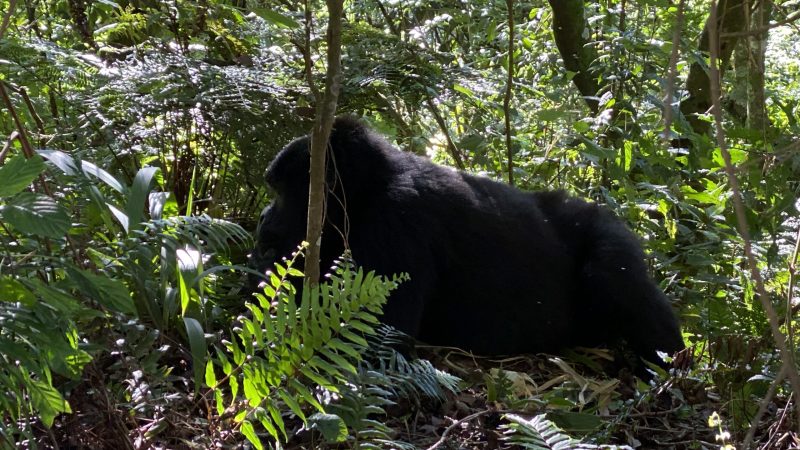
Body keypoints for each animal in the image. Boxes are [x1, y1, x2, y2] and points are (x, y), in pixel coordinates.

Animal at [253, 117, 684, 372]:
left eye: (282, 191)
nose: (263, 218)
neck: (369, 188)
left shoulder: (395, 223)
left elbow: (376, 340)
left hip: (609, 233)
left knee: (613, 273)